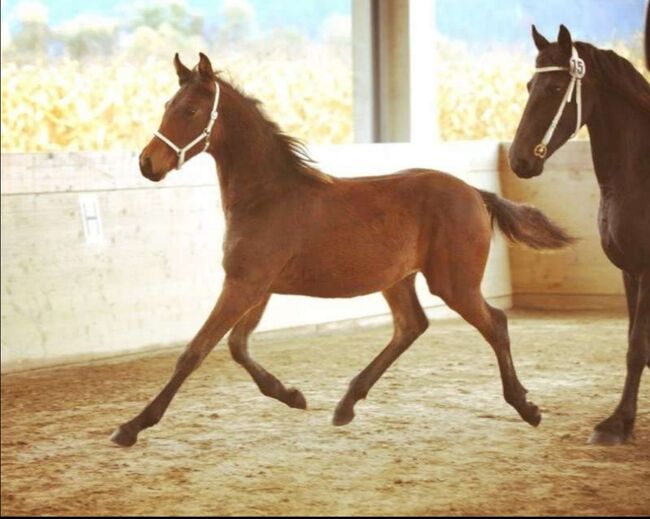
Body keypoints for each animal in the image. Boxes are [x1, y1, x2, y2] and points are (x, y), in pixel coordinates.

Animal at [111, 52, 572, 446]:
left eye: (189, 111)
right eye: (167, 104)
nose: (147, 164)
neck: (267, 196)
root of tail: (476, 193)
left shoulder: (244, 284)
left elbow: (195, 351)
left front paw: (132, 426)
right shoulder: (257, 287)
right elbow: (237, 347)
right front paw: (292, 395)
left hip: (453, 284)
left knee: (495, 324)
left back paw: (526, 406)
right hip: (398, 279)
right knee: (411, 326)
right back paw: (347, 404)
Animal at [508, 25, 644, 446]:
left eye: (555, 88)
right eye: (529, 85)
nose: (517, 160)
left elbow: (637, 348)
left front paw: (616, 425)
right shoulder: (630, 272)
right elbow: (636, 345)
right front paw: (623, 421)